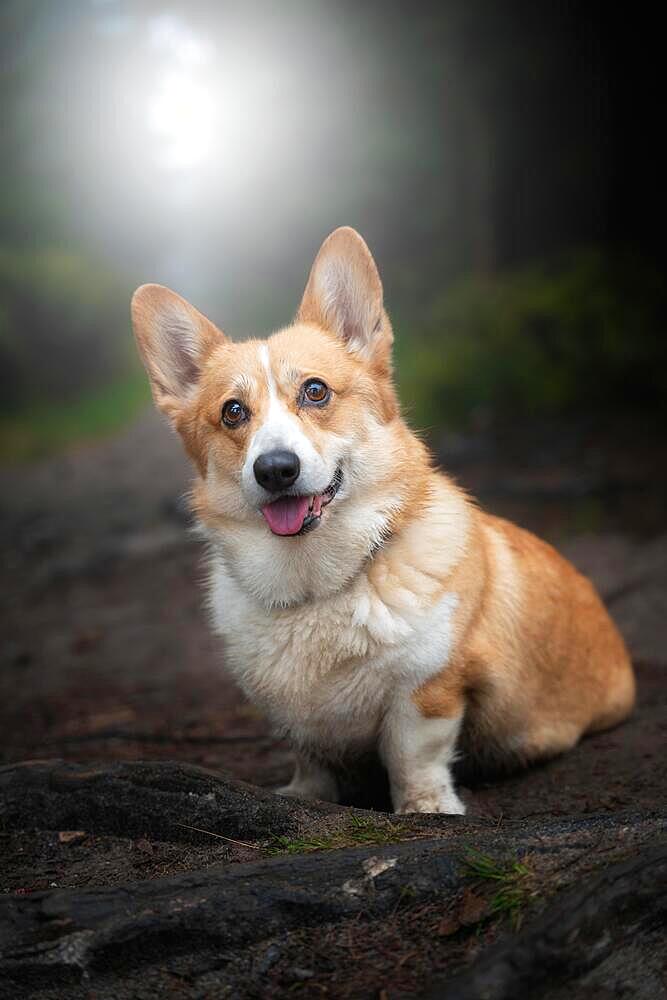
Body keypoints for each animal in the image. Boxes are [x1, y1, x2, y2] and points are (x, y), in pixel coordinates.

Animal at [130, 227, 636, 812]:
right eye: (233, 412)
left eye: (316, 391)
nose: (275, 469)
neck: (315, 585)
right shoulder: (296, 720)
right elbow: (310, 755)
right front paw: (306, 795)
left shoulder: (428, 689)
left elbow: (413, 754)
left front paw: (427, 809)